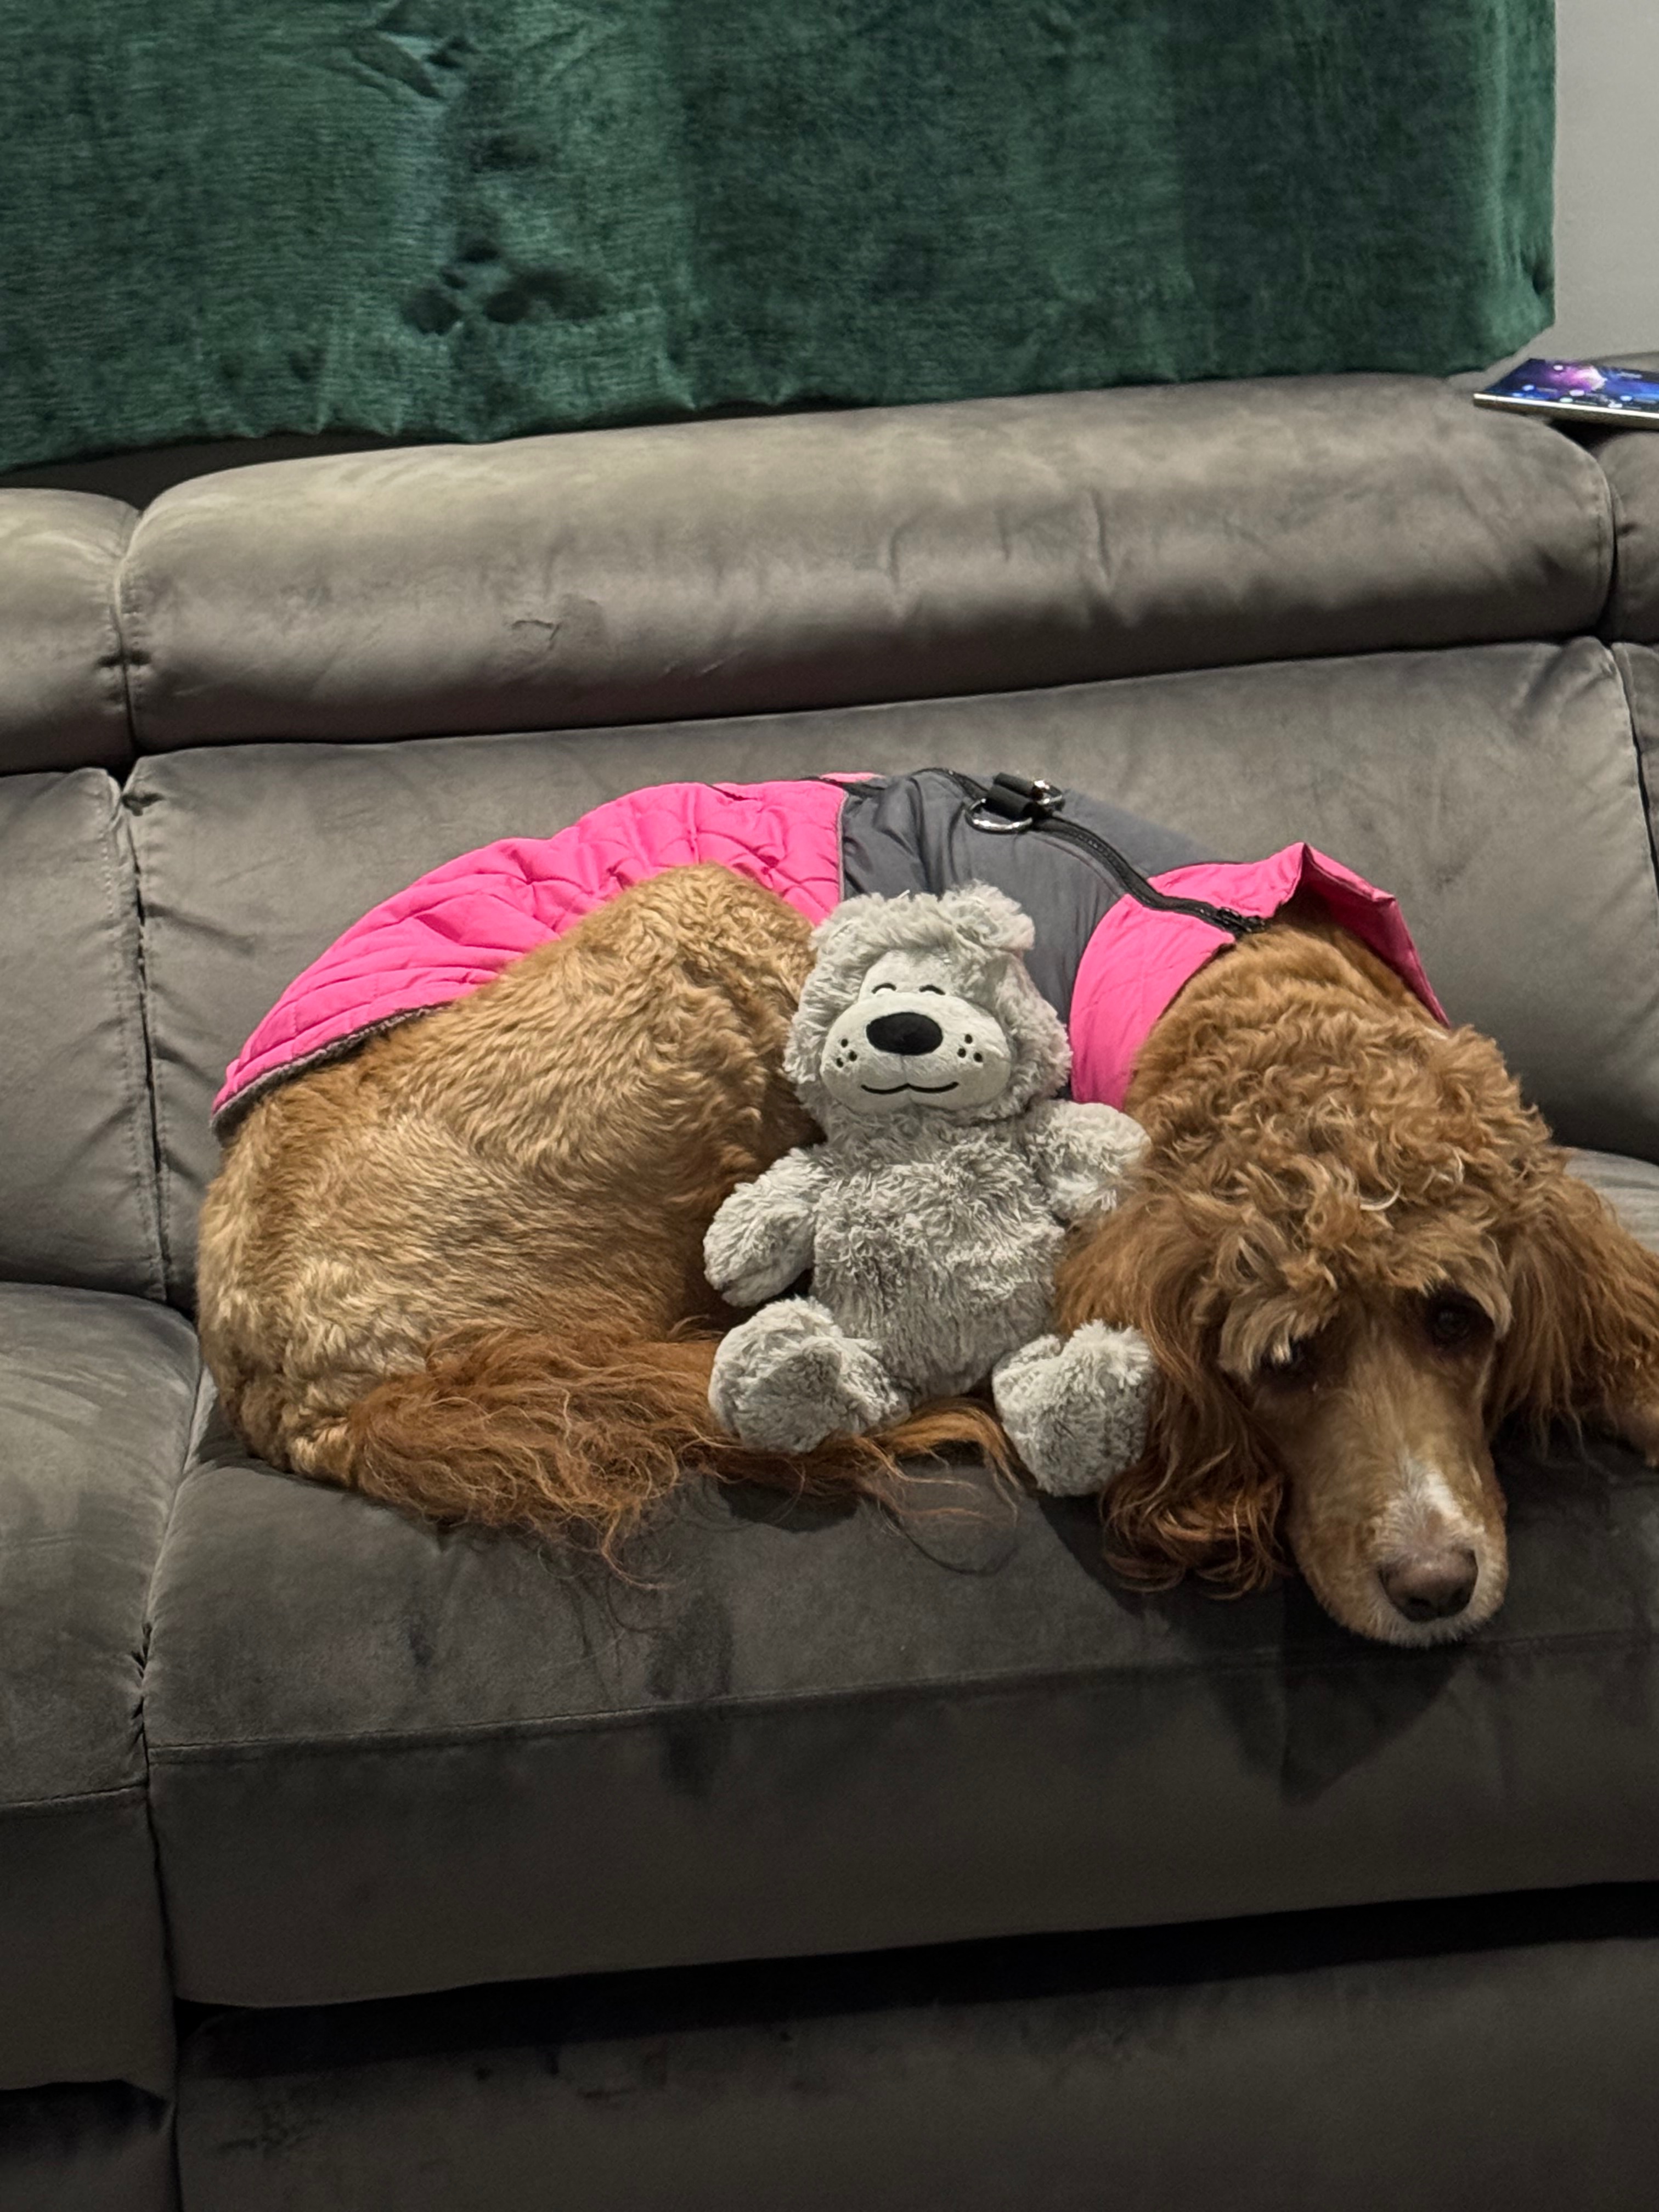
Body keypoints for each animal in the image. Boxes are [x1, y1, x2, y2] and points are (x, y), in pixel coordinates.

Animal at [196, 775, 1659, 1644]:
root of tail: (283, 1368)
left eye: (1462, 1324)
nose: (1437, 1588)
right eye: (1282, 1363)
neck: (1259, 993)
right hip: (718, 918)